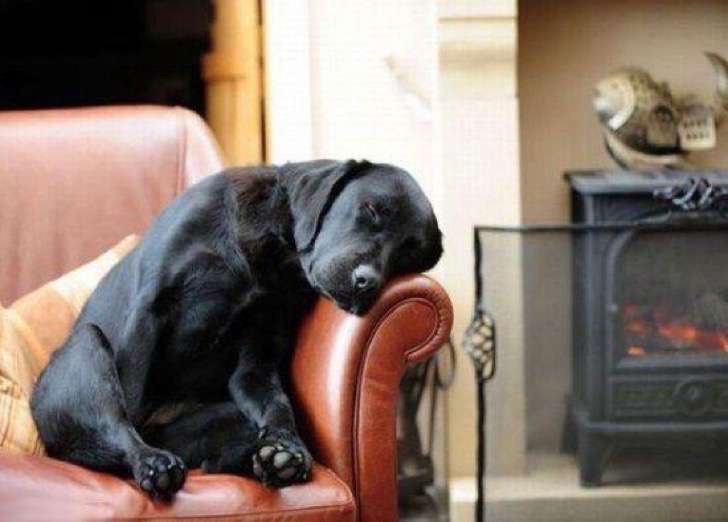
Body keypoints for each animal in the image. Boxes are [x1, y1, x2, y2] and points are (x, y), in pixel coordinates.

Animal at [29, 158, 444, 496]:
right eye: (371, 209)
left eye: (407, 256)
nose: (366, 282)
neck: (271, 253)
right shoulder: (149, 309)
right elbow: (128, 397)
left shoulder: (258, 355)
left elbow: (277, 405)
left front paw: (285, 450)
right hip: (86, 346)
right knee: (117, 423)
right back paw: (153, 463)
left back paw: (264, 460)